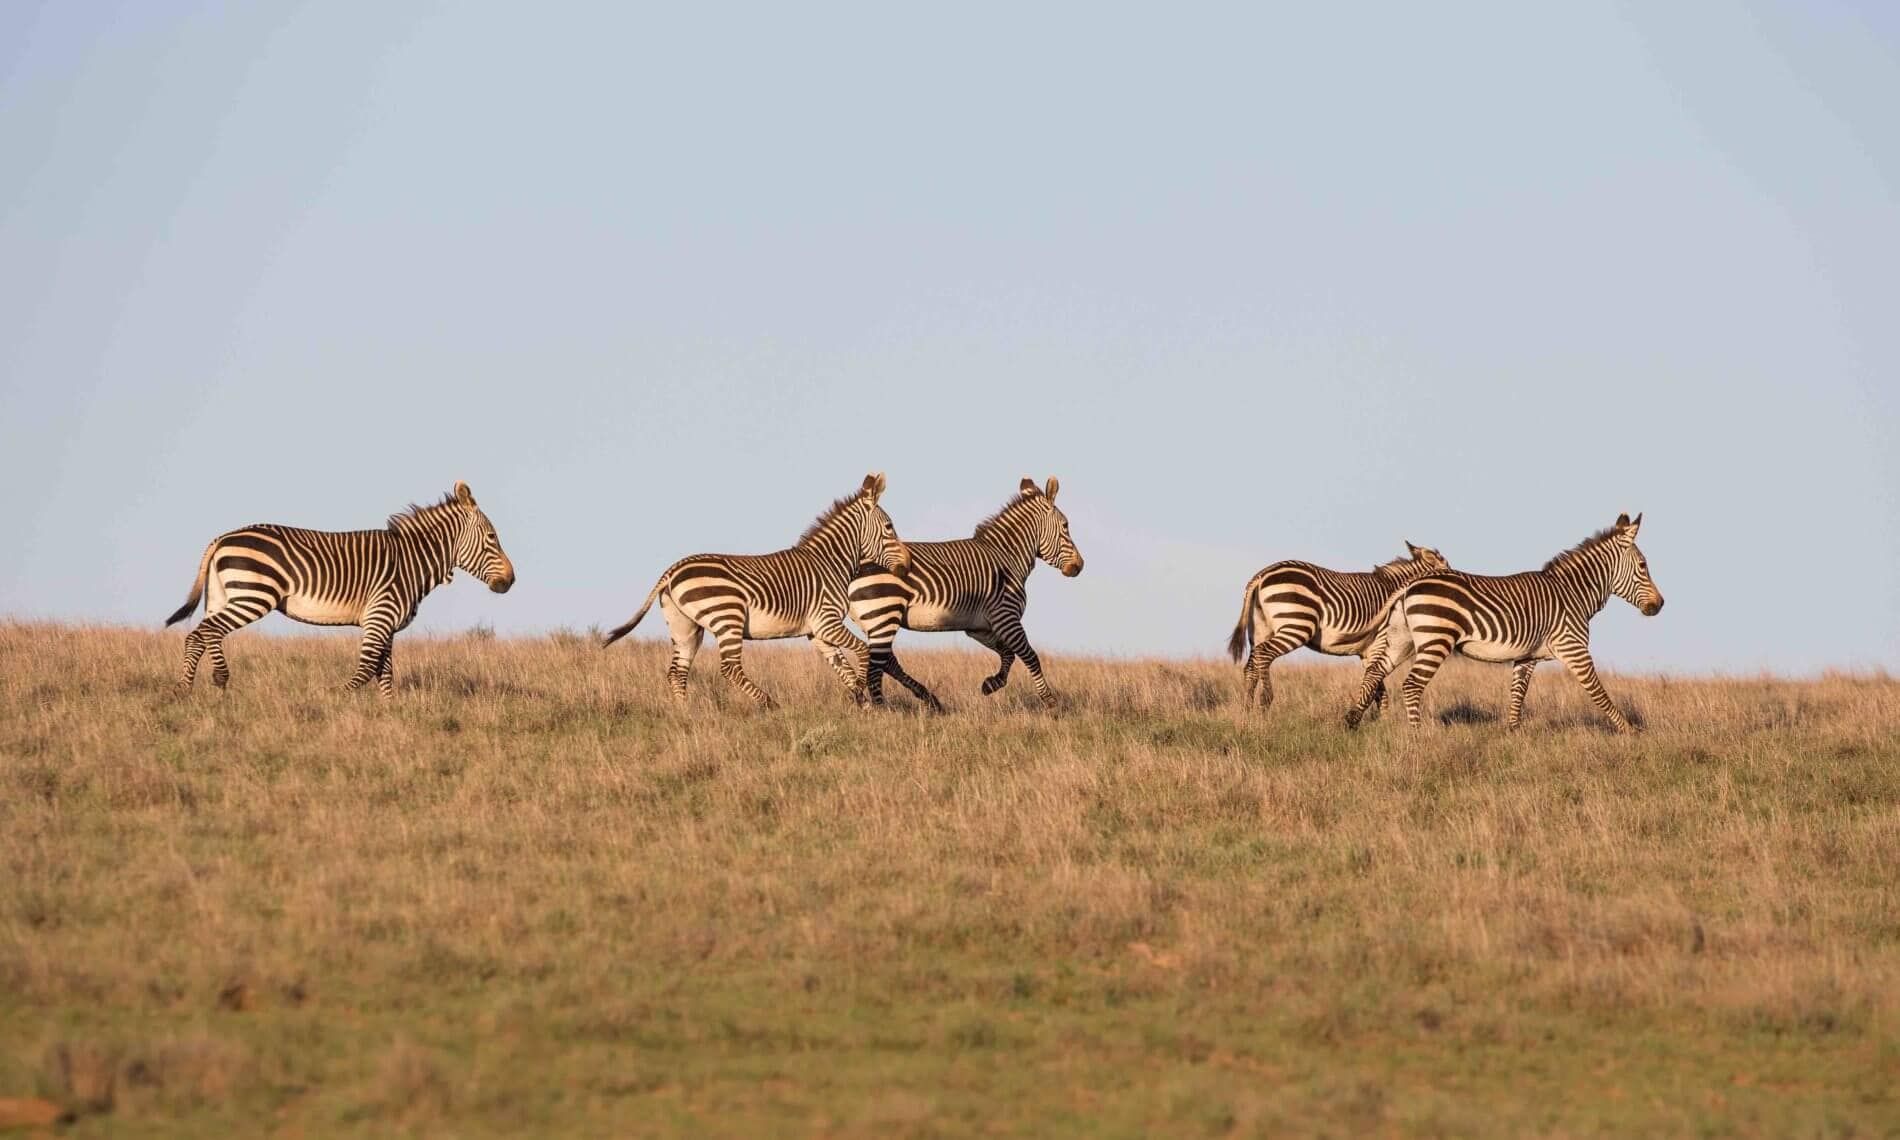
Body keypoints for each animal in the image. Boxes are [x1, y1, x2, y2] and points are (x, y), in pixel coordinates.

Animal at [165, 481, 515, 697]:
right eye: (492, 537)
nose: (510, 581)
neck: (411, 560)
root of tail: (222, 538)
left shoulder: (386, 624)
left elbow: (384, 672)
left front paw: (389, 714)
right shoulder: (379, 616)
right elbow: (367, 669)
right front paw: (332, 698)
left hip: (223, 595)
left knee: (202, 634)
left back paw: (198, 686)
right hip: (253, 594)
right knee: (205, 632)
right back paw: (203, 684)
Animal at [601, 473, 911, 710]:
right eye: (889, 527)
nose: (907, 566)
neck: (830, 562)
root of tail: (672, 570)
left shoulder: (817, 631)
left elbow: (841, 666)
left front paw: (861, 701)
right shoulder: (827, 622)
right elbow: (862, 652)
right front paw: (864, 694)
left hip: (685, 626)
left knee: (677, 671)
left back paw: (684, 713)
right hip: (727, 616)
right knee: (729, 668)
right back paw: (768, 703)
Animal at [847, 477, 1083, 711]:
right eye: (1066, 526)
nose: (1079, 565)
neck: (1007, 556)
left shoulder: (979, 626)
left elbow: (1007, 653)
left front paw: (991, 684)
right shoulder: (1006, 616)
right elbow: (1030, 656)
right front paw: (1050, 701)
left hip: (875, 621)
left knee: (887, 661)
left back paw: (927, 699)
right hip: (883, 614)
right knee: (877, 666)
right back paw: (881, 708)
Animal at [1227, 542, 1450, 714]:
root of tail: (1262, 575)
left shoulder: (1367, 652)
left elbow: (1377, 689)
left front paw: (1381, 723)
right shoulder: (1380, 643)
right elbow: (1374, 686)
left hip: (1260, 628)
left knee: (1251, 666)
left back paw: (1247, 713)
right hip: (1297, 624)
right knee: (1264, 654)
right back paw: (1265, 700)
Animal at [1346, 513, 1664, 733]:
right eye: (1644, 566)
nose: (1659, 605)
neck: (1572, 592)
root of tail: (1409, 584)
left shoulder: (1526, 656)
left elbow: (1518, 693)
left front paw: (1514, 734)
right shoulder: (1573, 648)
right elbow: (1598, 692)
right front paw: (1628, 731)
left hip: (1402, 639)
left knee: (1375, 672)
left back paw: (1351, 720)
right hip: (1436, 638)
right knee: (1411, 685)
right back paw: (1418, 735)